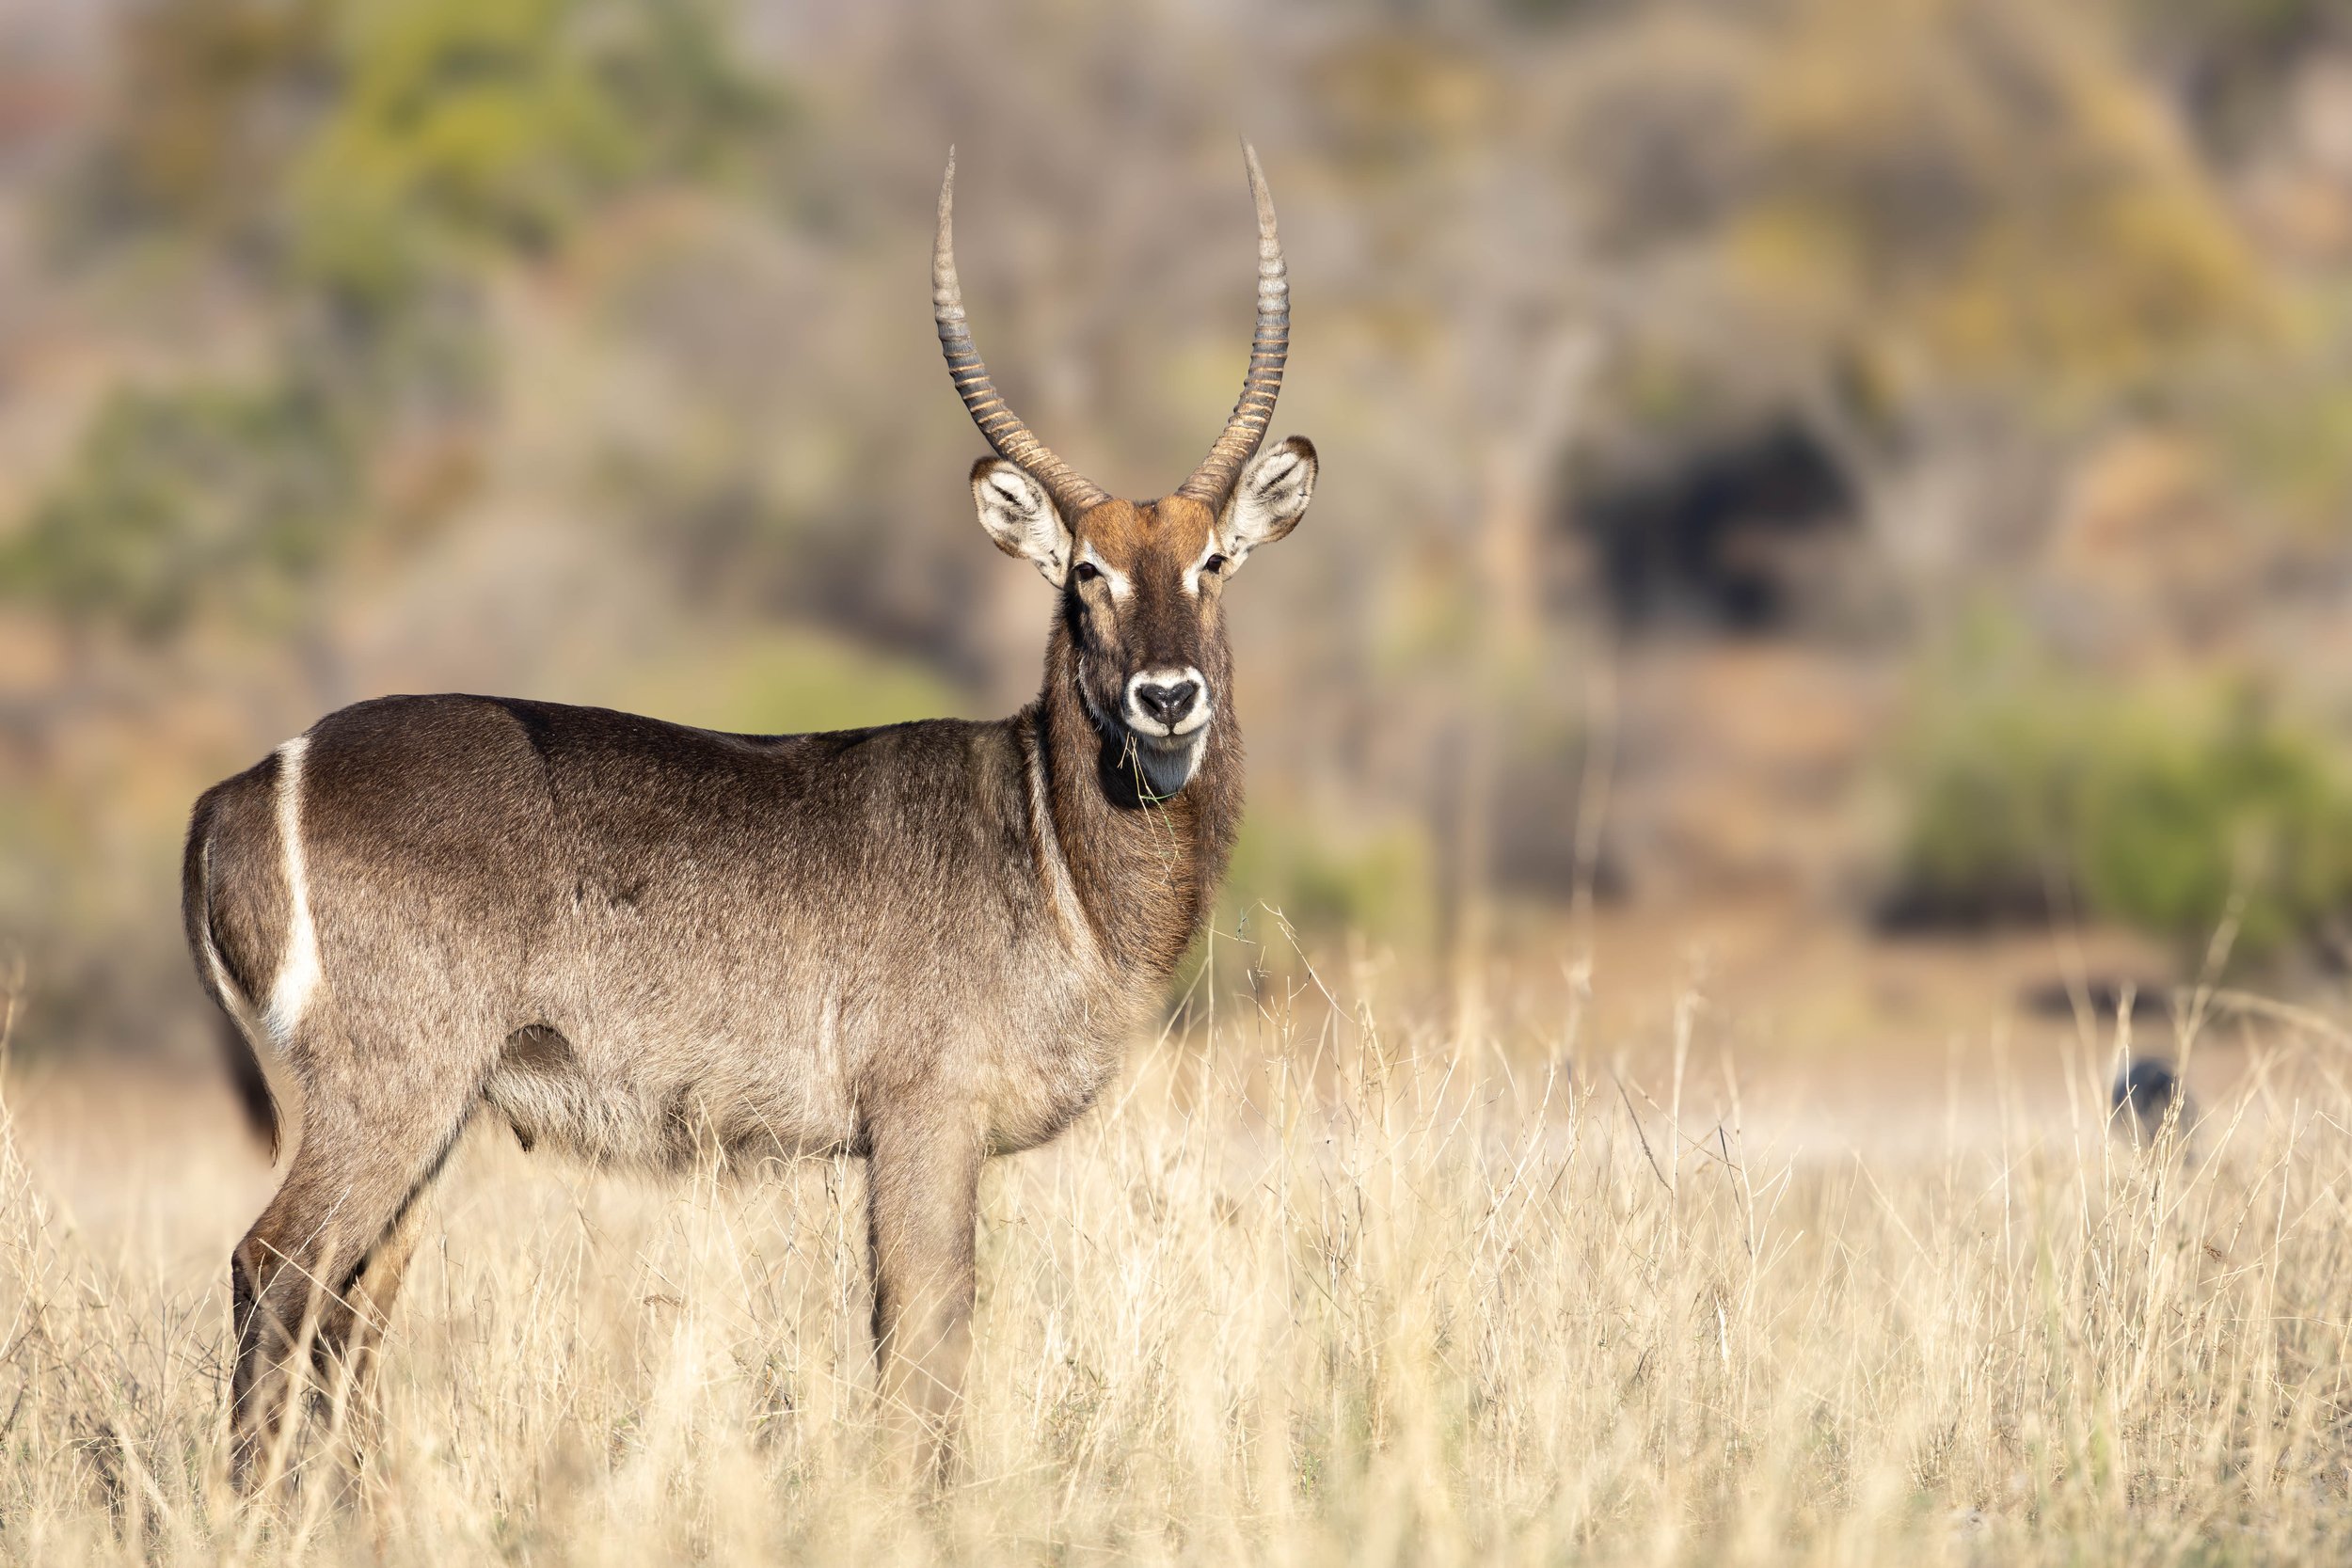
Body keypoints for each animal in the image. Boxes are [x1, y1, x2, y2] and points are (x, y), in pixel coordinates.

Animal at [180, 144, 1316, 1486]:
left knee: (352, 1303)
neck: (1051, 848)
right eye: (1087, 571)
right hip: (389, 1083)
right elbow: (923, 1335)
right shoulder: (923, 1116)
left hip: (431, 1107)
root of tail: (249, 779)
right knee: (275, 1268)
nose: (1167, 692)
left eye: (1212, 563)